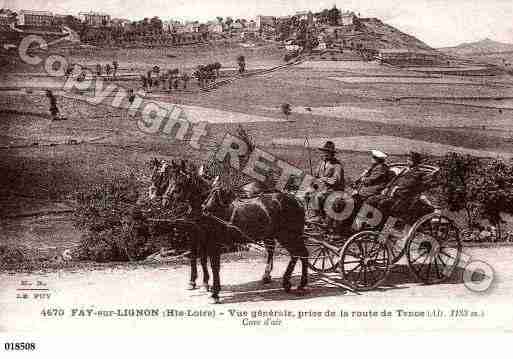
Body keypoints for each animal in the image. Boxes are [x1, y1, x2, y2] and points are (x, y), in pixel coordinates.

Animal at [147, 160, 211, 292]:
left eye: (159, 177)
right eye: (169, 180)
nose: (151, 195)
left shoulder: (202, 234)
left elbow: (202, 258)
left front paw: (205, 282)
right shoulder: (191, 232)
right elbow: (192, 256)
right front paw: (192, 281)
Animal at [165, 160, 308, 304]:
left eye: (181, 181)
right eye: (169, 179)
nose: (166, 200)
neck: (207, 206)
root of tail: (297, 201)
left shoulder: (212, 242)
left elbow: (214, 266)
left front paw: (214, 292)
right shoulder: (199, 237)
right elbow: (203, 260)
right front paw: (205, 285)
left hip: (288, 235)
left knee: (300, 253)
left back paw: (299, 284)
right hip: (280, 235)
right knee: (294, 254)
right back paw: (285, 282)